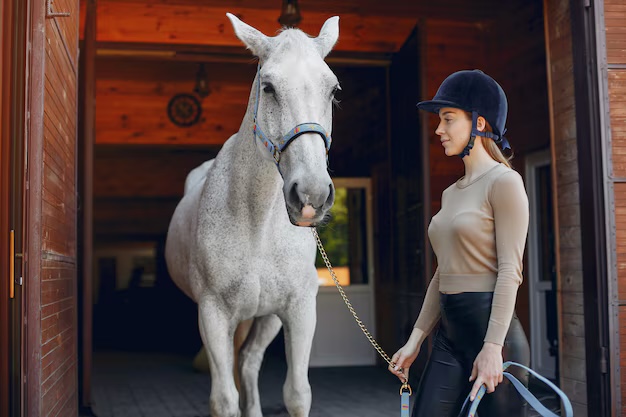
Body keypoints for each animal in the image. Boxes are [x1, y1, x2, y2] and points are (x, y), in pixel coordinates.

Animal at [163, 13, 338, 416]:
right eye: (269, 87)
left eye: (333, 90)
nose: (312, 194)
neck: (258, 224)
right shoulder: (212, 314)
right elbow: (224, 399)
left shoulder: (299, 309)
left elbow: (297, 393)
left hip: (266, 318)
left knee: (248, 362)